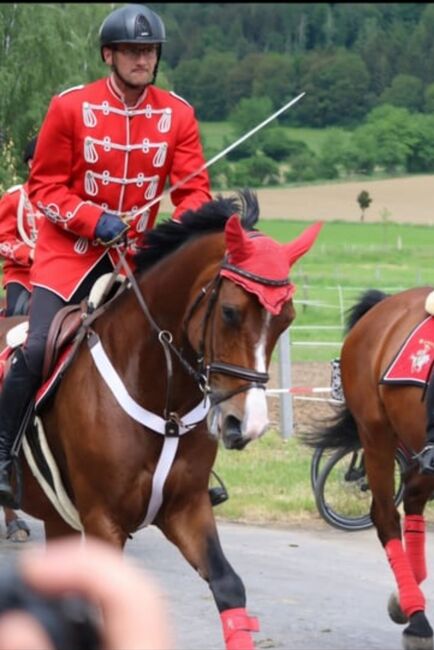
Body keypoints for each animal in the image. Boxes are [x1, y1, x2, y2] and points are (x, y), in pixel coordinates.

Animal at [0, 190, 322, 644]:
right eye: (230, 312)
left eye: (287, 318)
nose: (247, 425)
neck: (160, 395)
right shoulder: (102, 521)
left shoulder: (187, 508)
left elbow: (229, 586)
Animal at [302, 288, 434, 648]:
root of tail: (387, 303)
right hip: (377, 435)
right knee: (386, 517)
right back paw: (417, 618)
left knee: (413, 499)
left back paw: (406, 598)